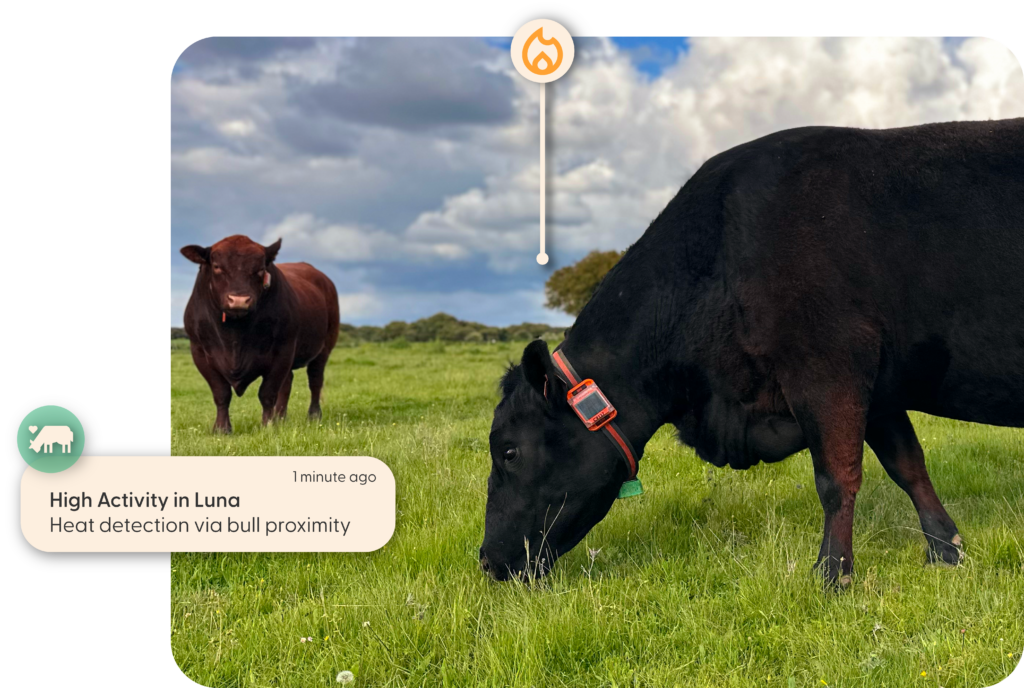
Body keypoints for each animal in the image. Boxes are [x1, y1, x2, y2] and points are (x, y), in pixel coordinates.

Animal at [180, 235, 340, 433]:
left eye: (261, 269)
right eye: (217, 266)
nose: (239, 300)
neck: (234, 336)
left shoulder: (283, 351)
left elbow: (267, 393)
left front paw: (267, 426)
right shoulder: (200, 352)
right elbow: (221, 393)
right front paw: (222, 429)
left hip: (324, 347)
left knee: (315, 380)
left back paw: (313, 416)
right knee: (287, 383)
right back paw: (280, 418)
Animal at [481, 118, 1024, 587]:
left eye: (509, 450)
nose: (486, 559)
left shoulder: (828, 367)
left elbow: (836, 478)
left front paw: (832, 576)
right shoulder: (879, 393)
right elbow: (908, 466)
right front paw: (946, 552)